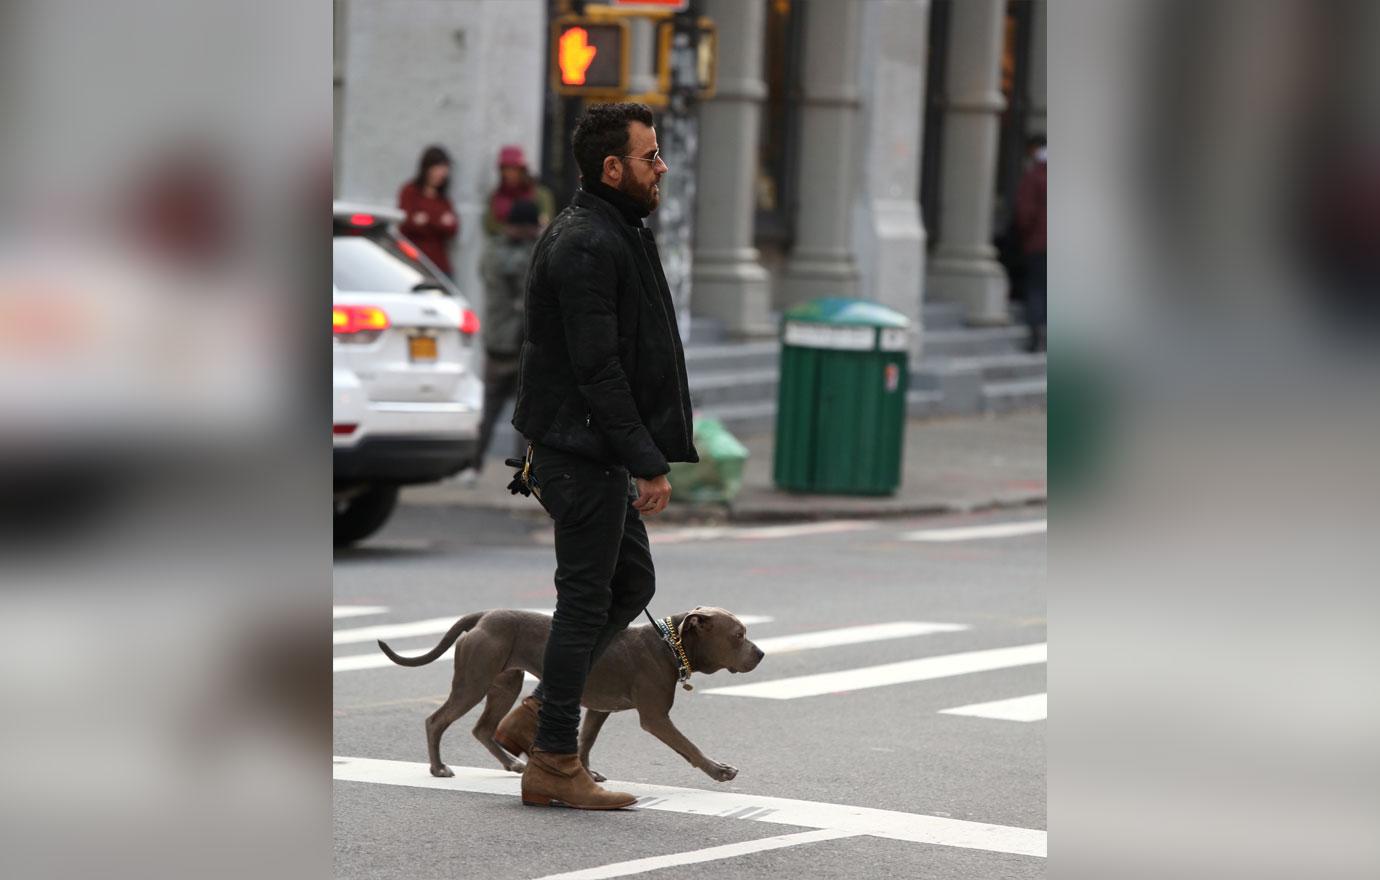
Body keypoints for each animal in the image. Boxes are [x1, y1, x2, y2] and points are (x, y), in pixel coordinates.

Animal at [378, 606, 767, 783]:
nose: (761, 653)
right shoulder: (655, 718)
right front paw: (718, 770)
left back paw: (512, 763)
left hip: (505, 682)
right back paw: (437, 767)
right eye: (738, 635)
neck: (670, 645)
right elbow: (689, 746)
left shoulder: (599, 709)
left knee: (483, 728)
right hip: (474, 681)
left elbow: (585, 741)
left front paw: (585, 774)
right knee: (436, 720)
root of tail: (484, 616)